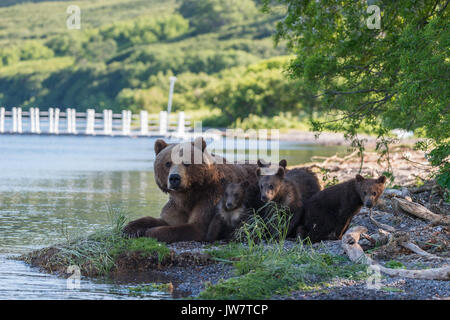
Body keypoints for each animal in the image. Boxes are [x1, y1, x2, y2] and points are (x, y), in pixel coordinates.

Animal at [122, 137, 256, 242]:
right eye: (168, 163)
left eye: (186, 163)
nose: (174, 178)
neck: (188, 193)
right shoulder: (176, 204)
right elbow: (165, 219)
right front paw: (130, 228)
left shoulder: (212, 198)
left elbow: (194, 227)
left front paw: (149, 232)